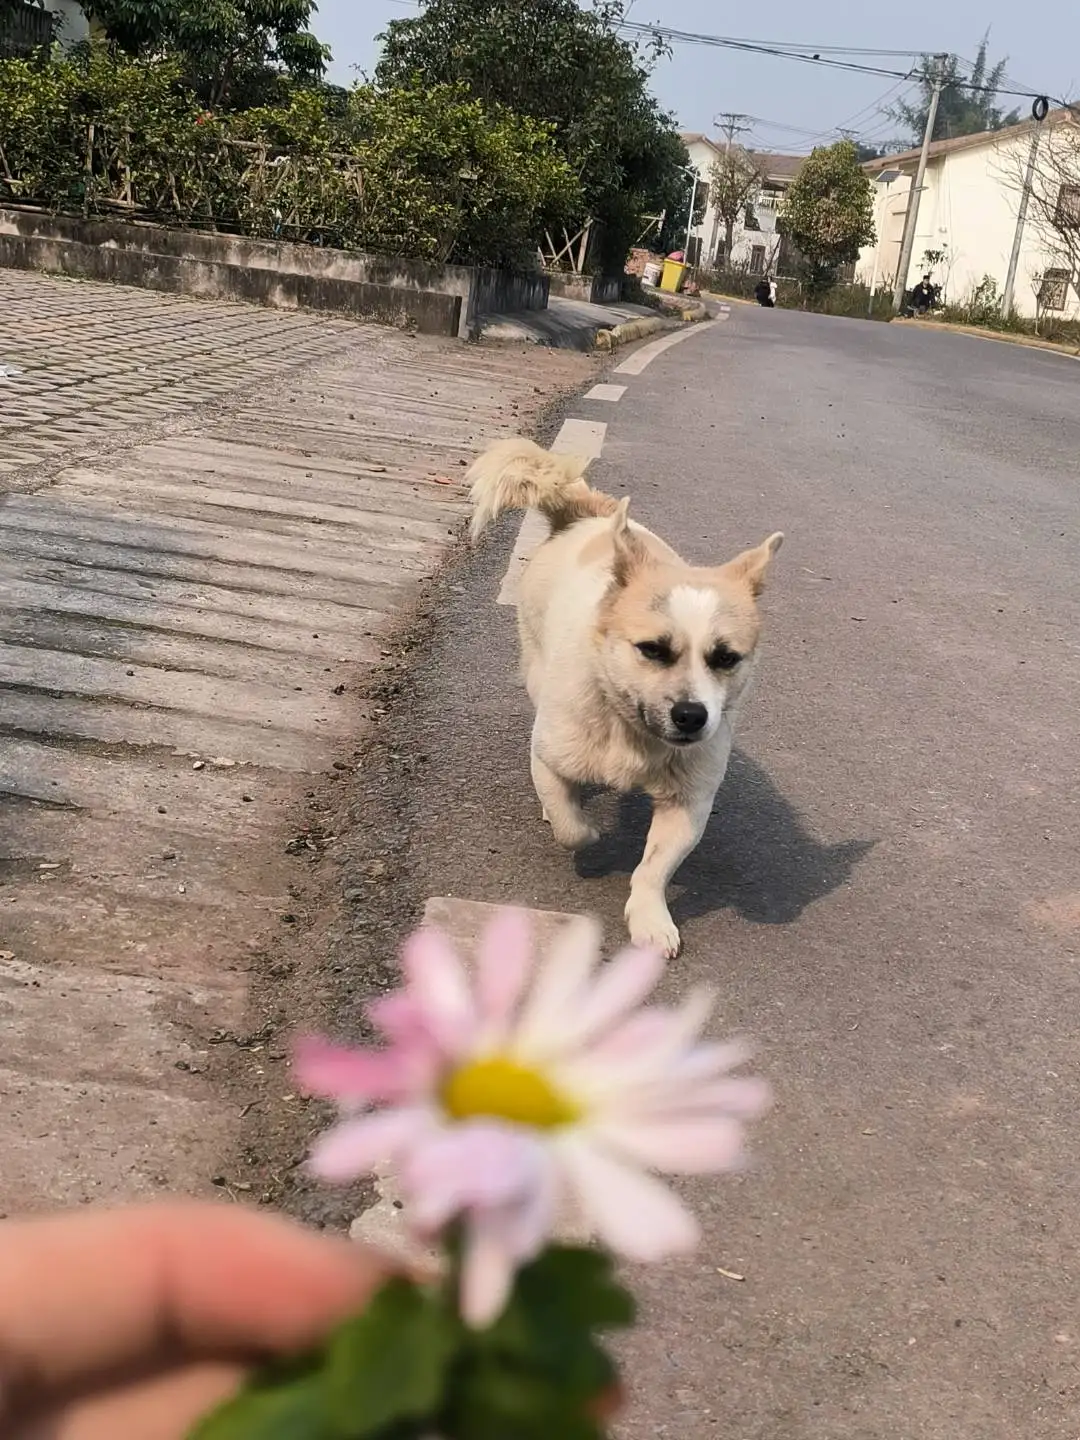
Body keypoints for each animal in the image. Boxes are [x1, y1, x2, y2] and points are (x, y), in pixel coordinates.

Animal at [469, 434, 783, 956]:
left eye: (725, 658)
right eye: (652, 649)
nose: (692, 715)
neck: (631, 729)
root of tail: (588, 515)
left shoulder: (688, 804)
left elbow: (655, 866)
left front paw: (650, 917)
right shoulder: (551, 755)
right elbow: (571, 825)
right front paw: (580, 825)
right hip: (535, 667)